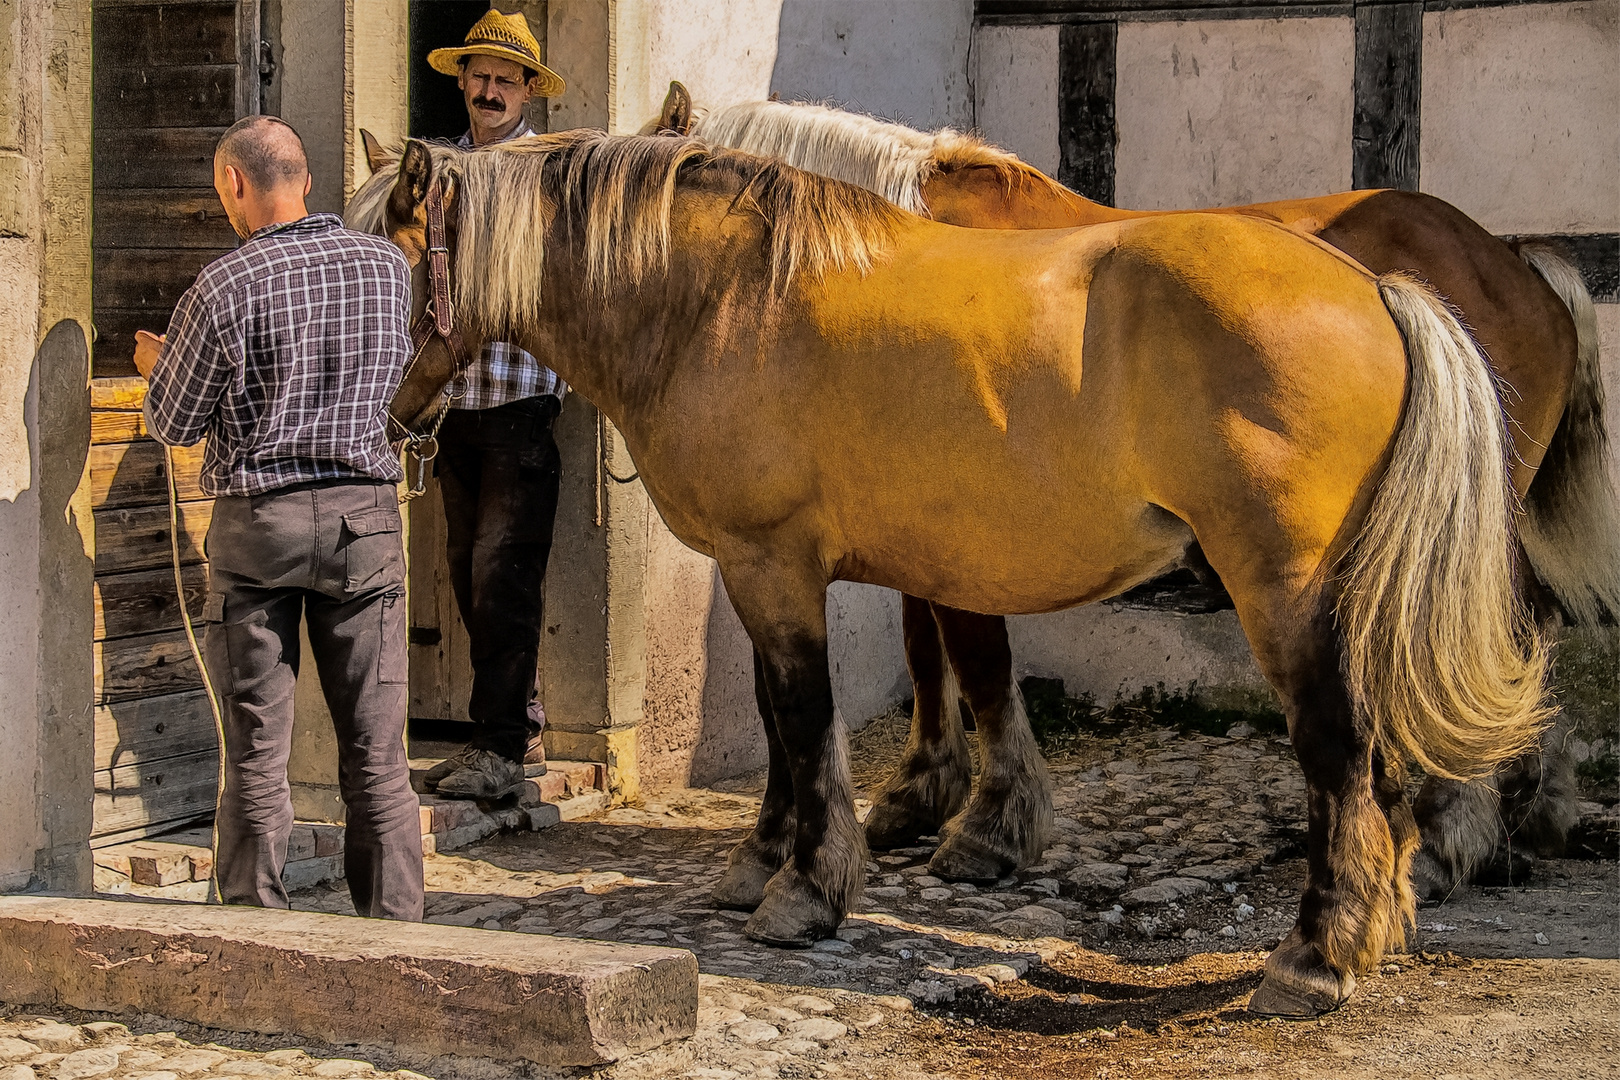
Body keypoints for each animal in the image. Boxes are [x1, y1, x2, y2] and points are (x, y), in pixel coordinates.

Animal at [361, 131, 1548, 1016]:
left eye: (377, 261)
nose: (382, 429)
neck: (717, 299)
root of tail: (1377, 287)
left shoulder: (773, 566)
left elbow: (807, 721)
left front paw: (807, 892)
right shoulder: (760, 570)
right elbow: (781, 722)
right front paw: (764, 861)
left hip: (1287, 590)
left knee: (1337, 748)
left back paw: (1318, 956)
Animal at [654, 90, 1607, 893]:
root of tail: (1513, 263)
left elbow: (971, 654)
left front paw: (986, 825)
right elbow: (926, 644)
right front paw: (920, 792)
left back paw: (1457, 834)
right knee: (1519, 629)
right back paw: (1530, 811)